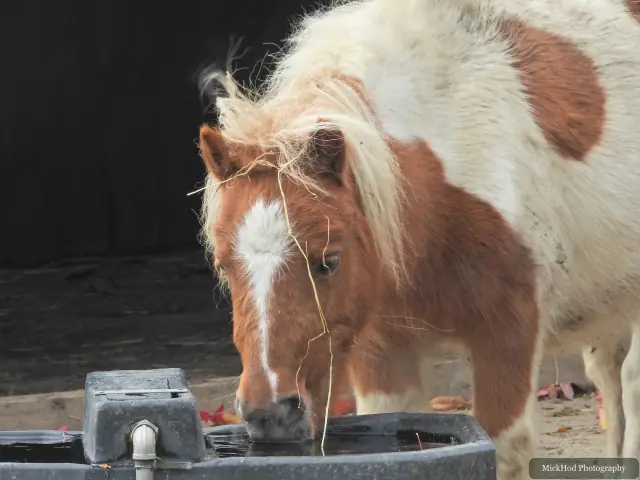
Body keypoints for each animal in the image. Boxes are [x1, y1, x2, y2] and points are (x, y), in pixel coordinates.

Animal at [196, 0, 640, 478]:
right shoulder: (382, 351)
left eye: (328, 261)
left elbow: (505, 447)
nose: (270, 415)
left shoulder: (509, 333)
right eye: (224, 265)